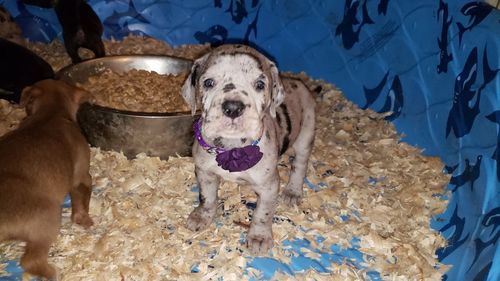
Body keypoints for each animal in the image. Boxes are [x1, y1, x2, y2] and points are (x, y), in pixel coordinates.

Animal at [0, 79, 93, 278]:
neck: (50, 114)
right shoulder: (81, 176)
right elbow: (82, 200)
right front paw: (84, 220)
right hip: (48, 218)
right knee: (30, 260)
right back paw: (54, 274)